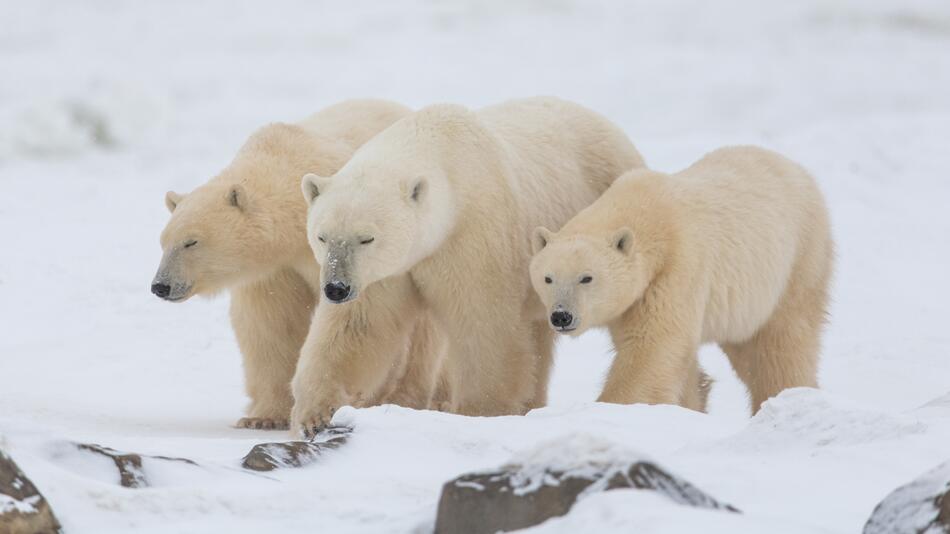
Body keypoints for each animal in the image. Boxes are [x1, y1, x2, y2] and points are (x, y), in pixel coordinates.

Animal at [151, 100, 448, 432]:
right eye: (163, 241)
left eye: (191, 242)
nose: (160, 285)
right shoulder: (275, 268)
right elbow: (272, 324)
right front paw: (263, 417)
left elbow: (360, 316)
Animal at [298, 96, 648, 432]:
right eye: (322, 236)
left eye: (366, 238)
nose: (336, 288)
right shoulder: (387, 270)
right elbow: (358, 326)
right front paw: (317, 414)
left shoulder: (475, 236)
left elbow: (485, 326)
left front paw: (481, 411)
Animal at [528, 146, 832, 414]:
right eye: (548, 278)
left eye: (586, 277)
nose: (561, 316)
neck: (645, 214)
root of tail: (796, 168)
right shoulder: (630, 302)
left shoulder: (676, 268)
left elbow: (651, 347)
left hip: (798, 261)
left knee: (780, 344)